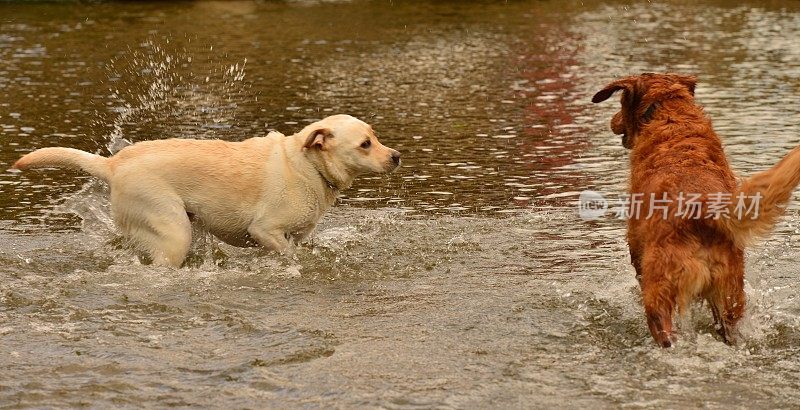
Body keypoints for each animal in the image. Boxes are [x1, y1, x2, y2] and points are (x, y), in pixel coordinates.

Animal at [592, 73, 800, 346]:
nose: (613, 121)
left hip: (660, 289)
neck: (669, 113)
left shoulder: (636, 247)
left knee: (665, 331)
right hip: (729, 296)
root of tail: (704, 212)